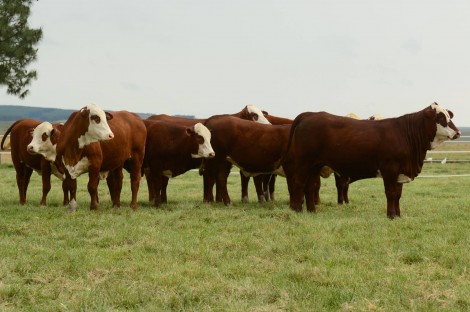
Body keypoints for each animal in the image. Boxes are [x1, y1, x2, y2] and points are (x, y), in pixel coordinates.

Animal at [280, 101, 460, 218]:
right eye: (440, 117)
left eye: (448, 116)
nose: (457, 132)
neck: (405, 135)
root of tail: (311, 114)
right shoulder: (390, 169)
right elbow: (391, 194)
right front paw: (391, 215)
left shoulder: (400, 172)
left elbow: (398, 195)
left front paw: (398, 215)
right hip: (303, 163)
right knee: (299, 184)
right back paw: (296, 210)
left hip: (315, 165)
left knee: (310, 187)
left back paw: (311, 211)